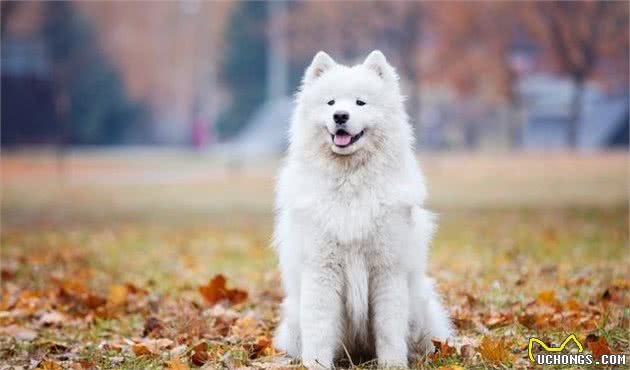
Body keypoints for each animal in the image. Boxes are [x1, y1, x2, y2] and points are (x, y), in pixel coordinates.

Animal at [274, 50, 452, 368]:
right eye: (331, 102)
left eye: (360, 102)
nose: (340, 116)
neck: (350, 183)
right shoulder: (321, 268)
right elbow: (319, 329)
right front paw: (316, 364)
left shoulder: (387, 269)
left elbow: (389, 327)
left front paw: (393, 364)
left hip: (420, 308)